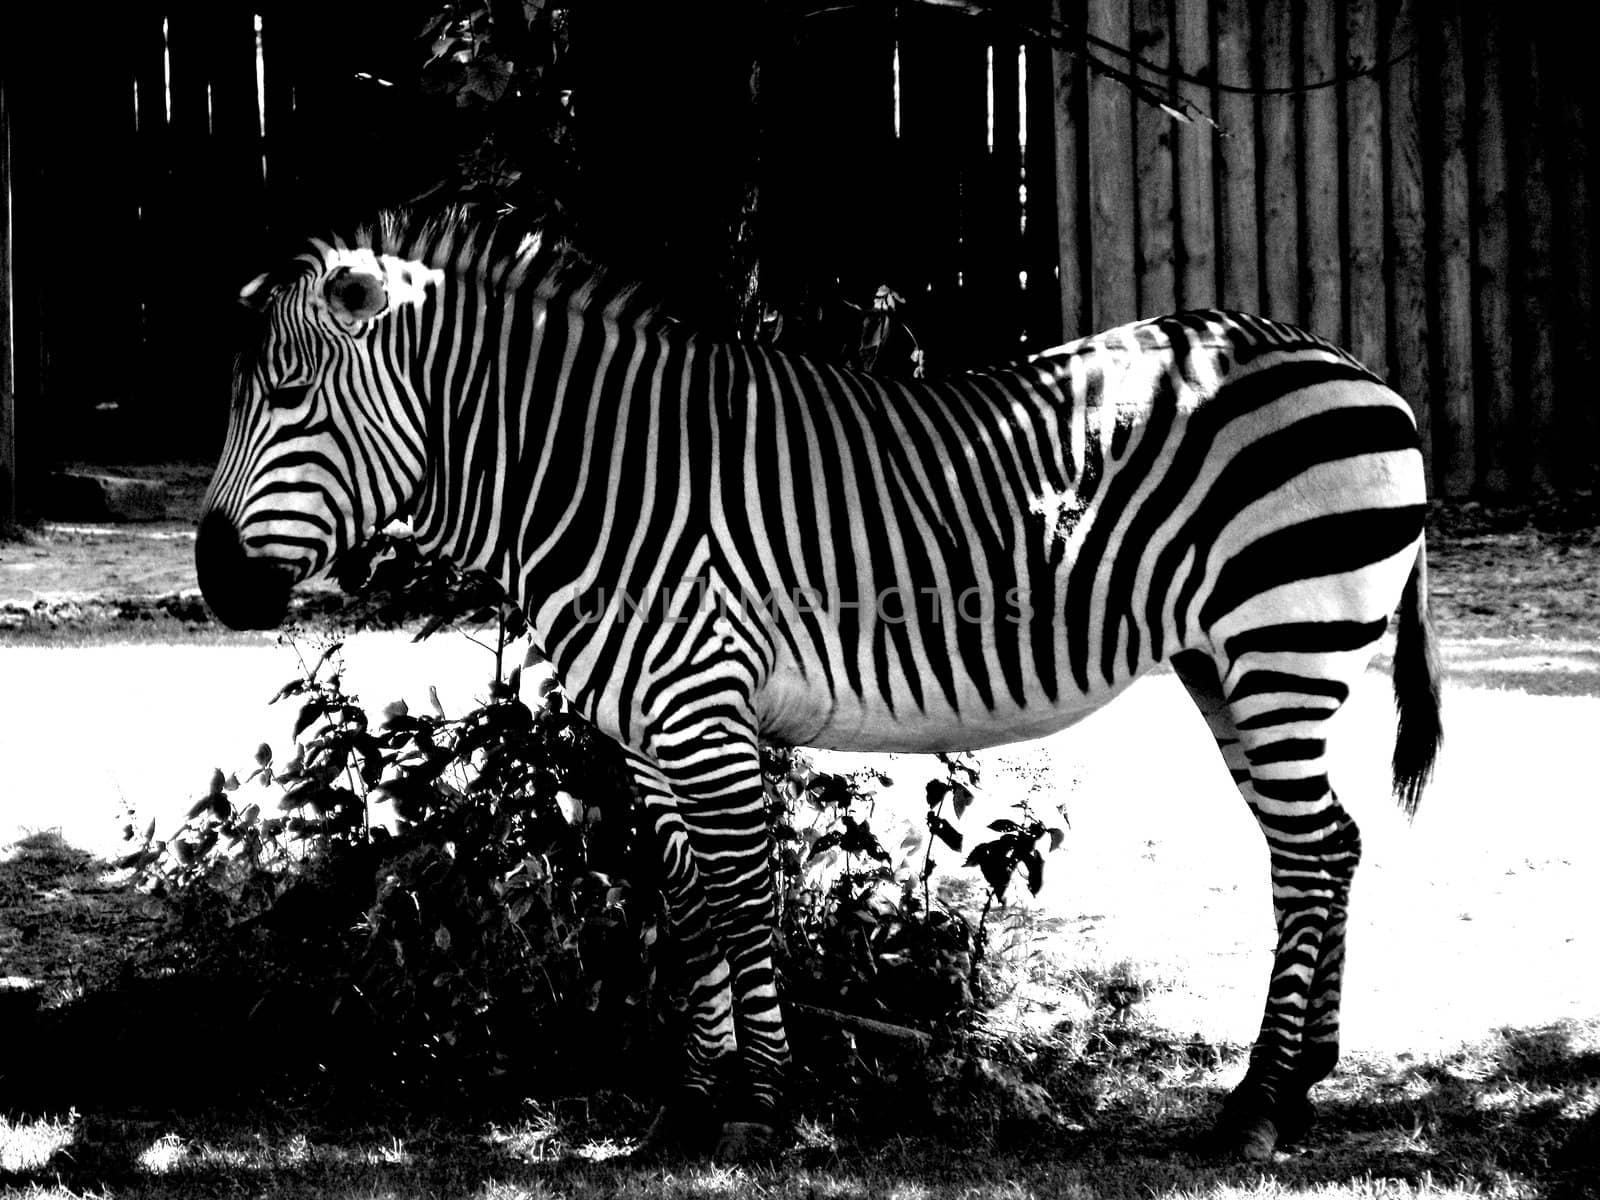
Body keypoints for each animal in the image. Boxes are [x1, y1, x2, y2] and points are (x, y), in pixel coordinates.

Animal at [196, 209, 1440, 1164]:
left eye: (290, 395)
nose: (213, 582)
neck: (598, 477)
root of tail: (1347, 365)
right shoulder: (644, 733)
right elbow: (687, 902)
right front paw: (687, 1105)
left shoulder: (702, 710)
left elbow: (746, 897)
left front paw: (758, 1106)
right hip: (1227, 664)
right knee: (1319, 849)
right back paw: (1301, 1081)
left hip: (1284, 643)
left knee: (1315, 851)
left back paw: (1256, 1109)